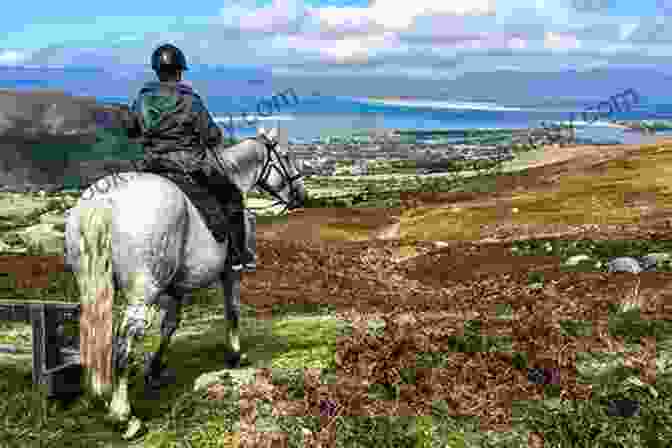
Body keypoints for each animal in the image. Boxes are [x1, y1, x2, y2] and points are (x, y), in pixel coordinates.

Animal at [61, 126, 308, 438]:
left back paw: (100, 394)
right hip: (143, 293)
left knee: (95, 333)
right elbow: (233, 311)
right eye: (286, 156)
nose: (301, 195)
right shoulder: (231, 273)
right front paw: (235, 355)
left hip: (91, 285)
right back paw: (124, 416)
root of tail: (104, 203)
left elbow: (169, 325)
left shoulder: (175, 289)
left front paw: (155, 368)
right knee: (123, 344)